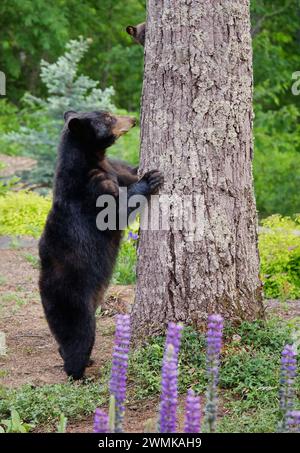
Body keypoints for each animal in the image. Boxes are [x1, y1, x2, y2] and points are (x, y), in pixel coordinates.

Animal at [39, 111, 164, 380]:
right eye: (107, 118)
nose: (132, 119)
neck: (92, 159)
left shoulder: (112, 170)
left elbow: (127, 173)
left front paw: (141, 170)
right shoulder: (90, 188)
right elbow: (114, 211)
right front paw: (151, 178)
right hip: (73, 298)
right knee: (79, 335)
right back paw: (78, 371)